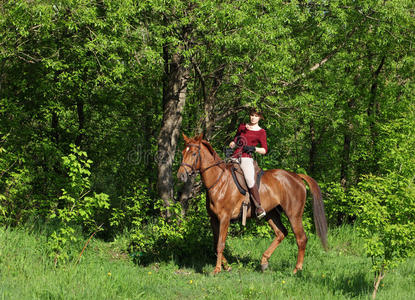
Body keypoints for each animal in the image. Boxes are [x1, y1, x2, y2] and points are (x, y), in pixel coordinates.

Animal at [176, 134, 328, 274]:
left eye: (194, 153)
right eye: (183, 153)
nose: (181, 176)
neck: (219, 181)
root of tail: (297, 176)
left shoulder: (225, 218)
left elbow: (220, 244)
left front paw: (217, 269)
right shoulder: (213, 219)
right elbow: (215, 244)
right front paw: (226, 266)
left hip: (294, 214)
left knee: (301, 238)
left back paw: (297, 269)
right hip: (271, 214)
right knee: (281, 233)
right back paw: (264, 261)